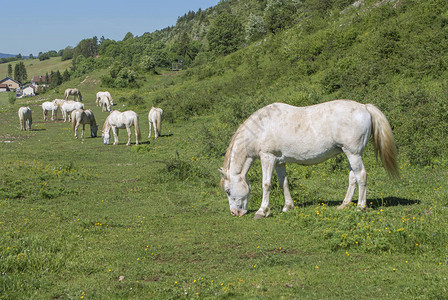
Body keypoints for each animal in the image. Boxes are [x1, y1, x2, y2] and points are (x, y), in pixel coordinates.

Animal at [219, 99, 398, 219]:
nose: (234, 213)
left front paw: (262, 211)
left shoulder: (267, 157)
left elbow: (266, 184)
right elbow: (283, 183)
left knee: (361, 176)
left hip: (353, 154)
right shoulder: (279, 161)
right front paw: (288, 207)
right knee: (353, 177)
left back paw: (360, 207)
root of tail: (364, 107)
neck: (261, 128)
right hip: (349, 154)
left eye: (228, 190)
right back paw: (344, 205)